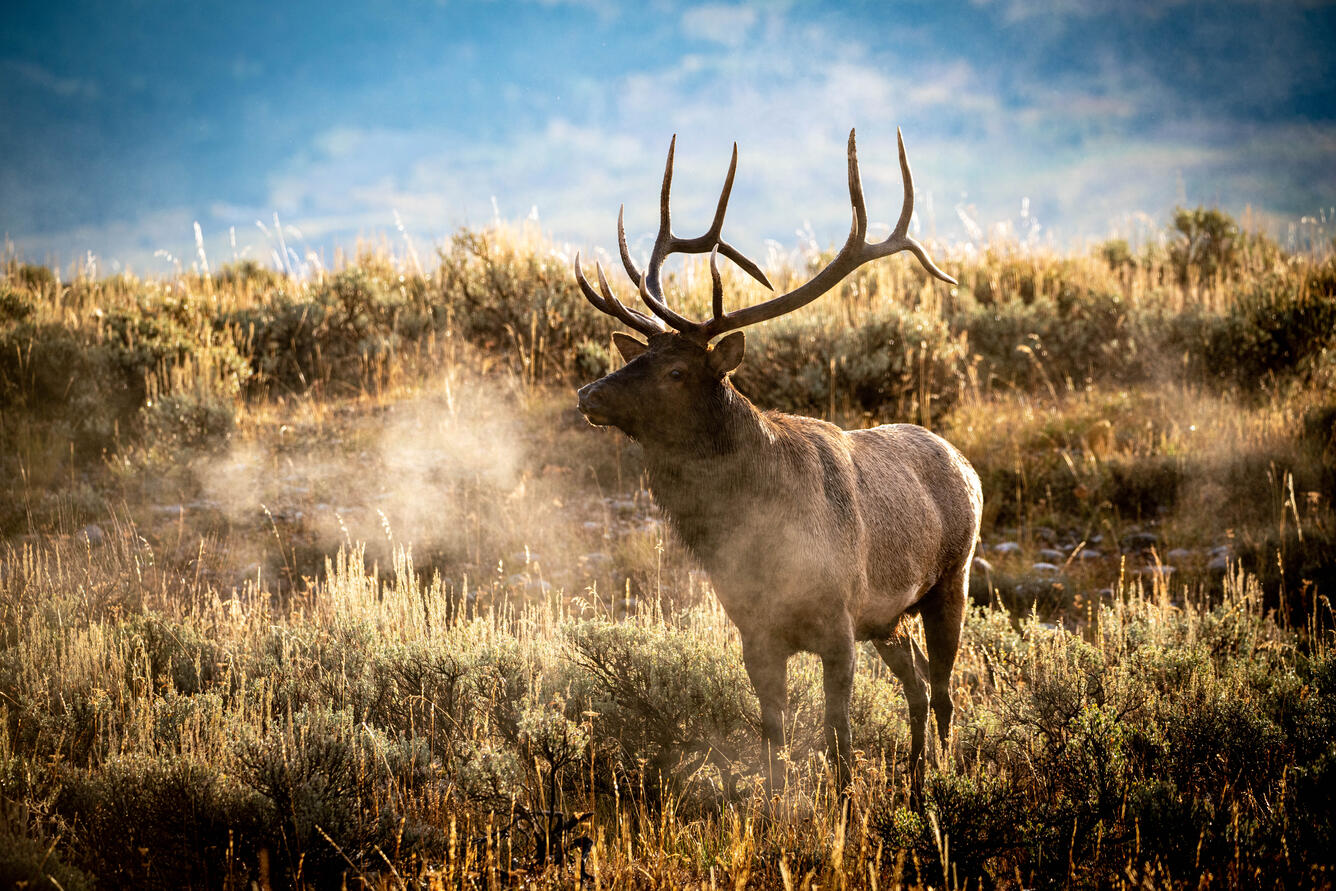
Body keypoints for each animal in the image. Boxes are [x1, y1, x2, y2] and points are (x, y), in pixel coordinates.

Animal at [573, 129, 982, 791]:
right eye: (639, 356)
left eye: (677, 370)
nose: (588, 394)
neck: (758, 536)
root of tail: (967, 466)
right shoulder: (754, 631)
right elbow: (775, 742)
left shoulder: (839, 622)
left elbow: (838, 742)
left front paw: (844, 805)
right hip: (889, 618)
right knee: (918, 681)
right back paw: (917, 778)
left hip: (951, 579)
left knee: (945, 688)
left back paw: (944, 778)